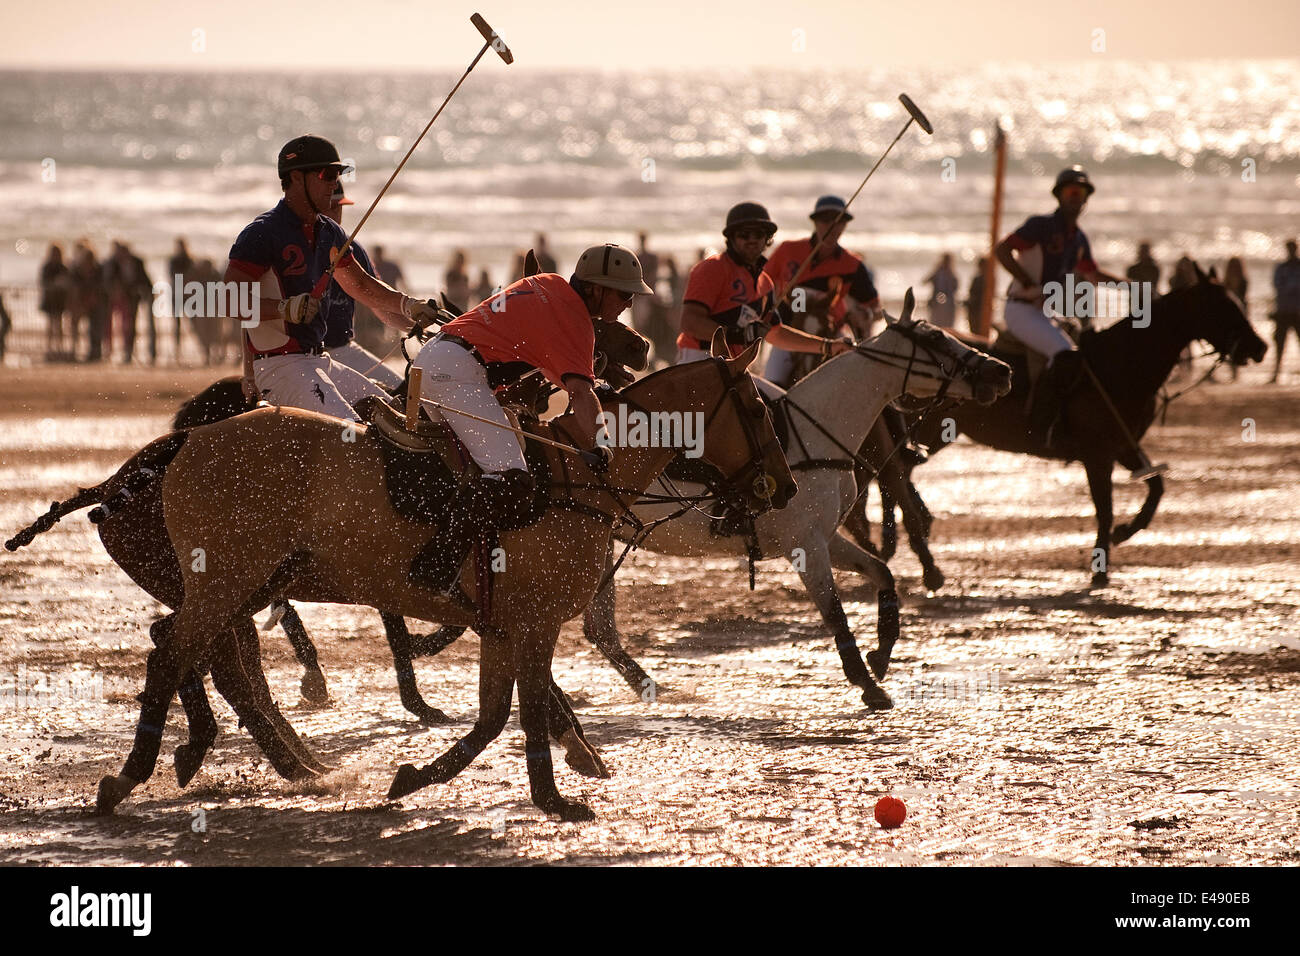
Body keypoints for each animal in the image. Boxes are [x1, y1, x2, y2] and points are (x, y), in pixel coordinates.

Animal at [76, 338, 795, 822]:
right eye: (758, 410)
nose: (783, 487)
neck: (580, 476)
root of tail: (186, 442)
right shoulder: (534, 623)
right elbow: (525, 711)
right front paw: (555, 797)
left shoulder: (503, 626)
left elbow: (494, 716)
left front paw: (415, 777)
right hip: (226, 579)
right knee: (177, 652)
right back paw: (132, 778)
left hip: (244, 582)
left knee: (196, 649)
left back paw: (256, 760)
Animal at [582, 299, 1013, 712]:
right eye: (937, 338)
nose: (1001, 370)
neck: (818, 430)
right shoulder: (805, 545)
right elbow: (835, 612)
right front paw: (867, 684)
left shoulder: (825, 537)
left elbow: (883, 573)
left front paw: (881, 654)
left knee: (598, 628)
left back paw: (645, 685)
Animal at [837, 264, 1263, 590]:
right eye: (1223, 306)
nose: (1259, 348)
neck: (1120, 365)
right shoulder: (1097, 454)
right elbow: (1105, 508)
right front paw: (1100, 569)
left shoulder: (1123, 446)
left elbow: (1156, 486)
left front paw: (1126, 532)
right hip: (920, 431)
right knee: (892, 475)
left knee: (895, 475)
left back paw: (903, 535)